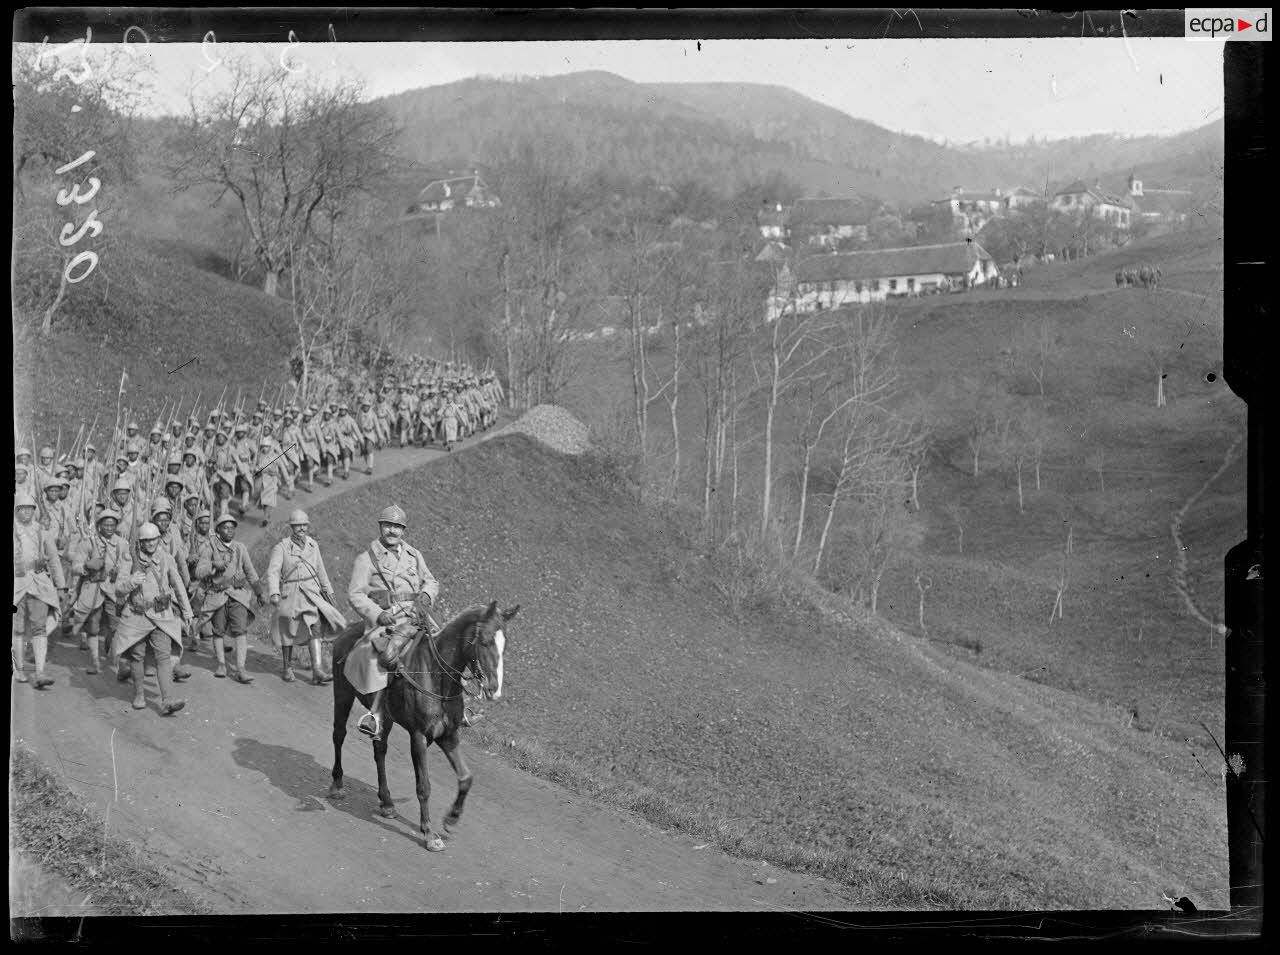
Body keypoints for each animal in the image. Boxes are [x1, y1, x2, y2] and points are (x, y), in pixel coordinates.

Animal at [327, 599, 522, 850]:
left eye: (504, 645)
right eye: (485, 641)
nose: (493, 689)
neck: (436, 677)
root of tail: (349, 631)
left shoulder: (448, 736)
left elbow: (466, 778)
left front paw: (452, 818)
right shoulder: (418, 736)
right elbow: (424, 786)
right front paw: (429, 833)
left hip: (386, 718)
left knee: (379, 750)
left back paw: (387, 802)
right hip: (343, 694)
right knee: (338, 735)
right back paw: (337, 785)